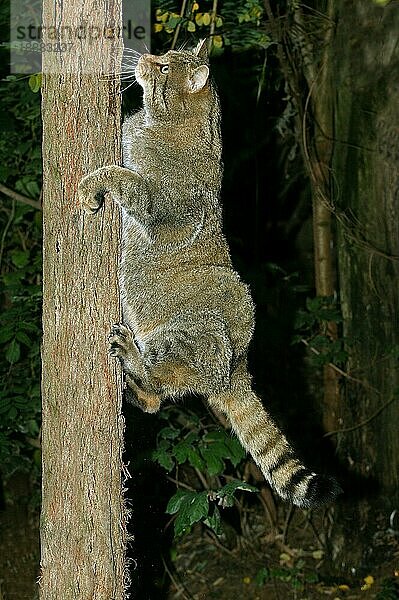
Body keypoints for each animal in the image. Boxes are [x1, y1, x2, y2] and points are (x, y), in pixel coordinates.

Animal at [79, 38, 344, 506]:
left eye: (165, 66)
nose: (145, 57)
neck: (163, 120)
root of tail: (239, 364)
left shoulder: (168, 206)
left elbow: (126, 178)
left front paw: (100, 181)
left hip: (193, 332)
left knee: (163, 378)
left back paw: (137, 363)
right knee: (157, 399)